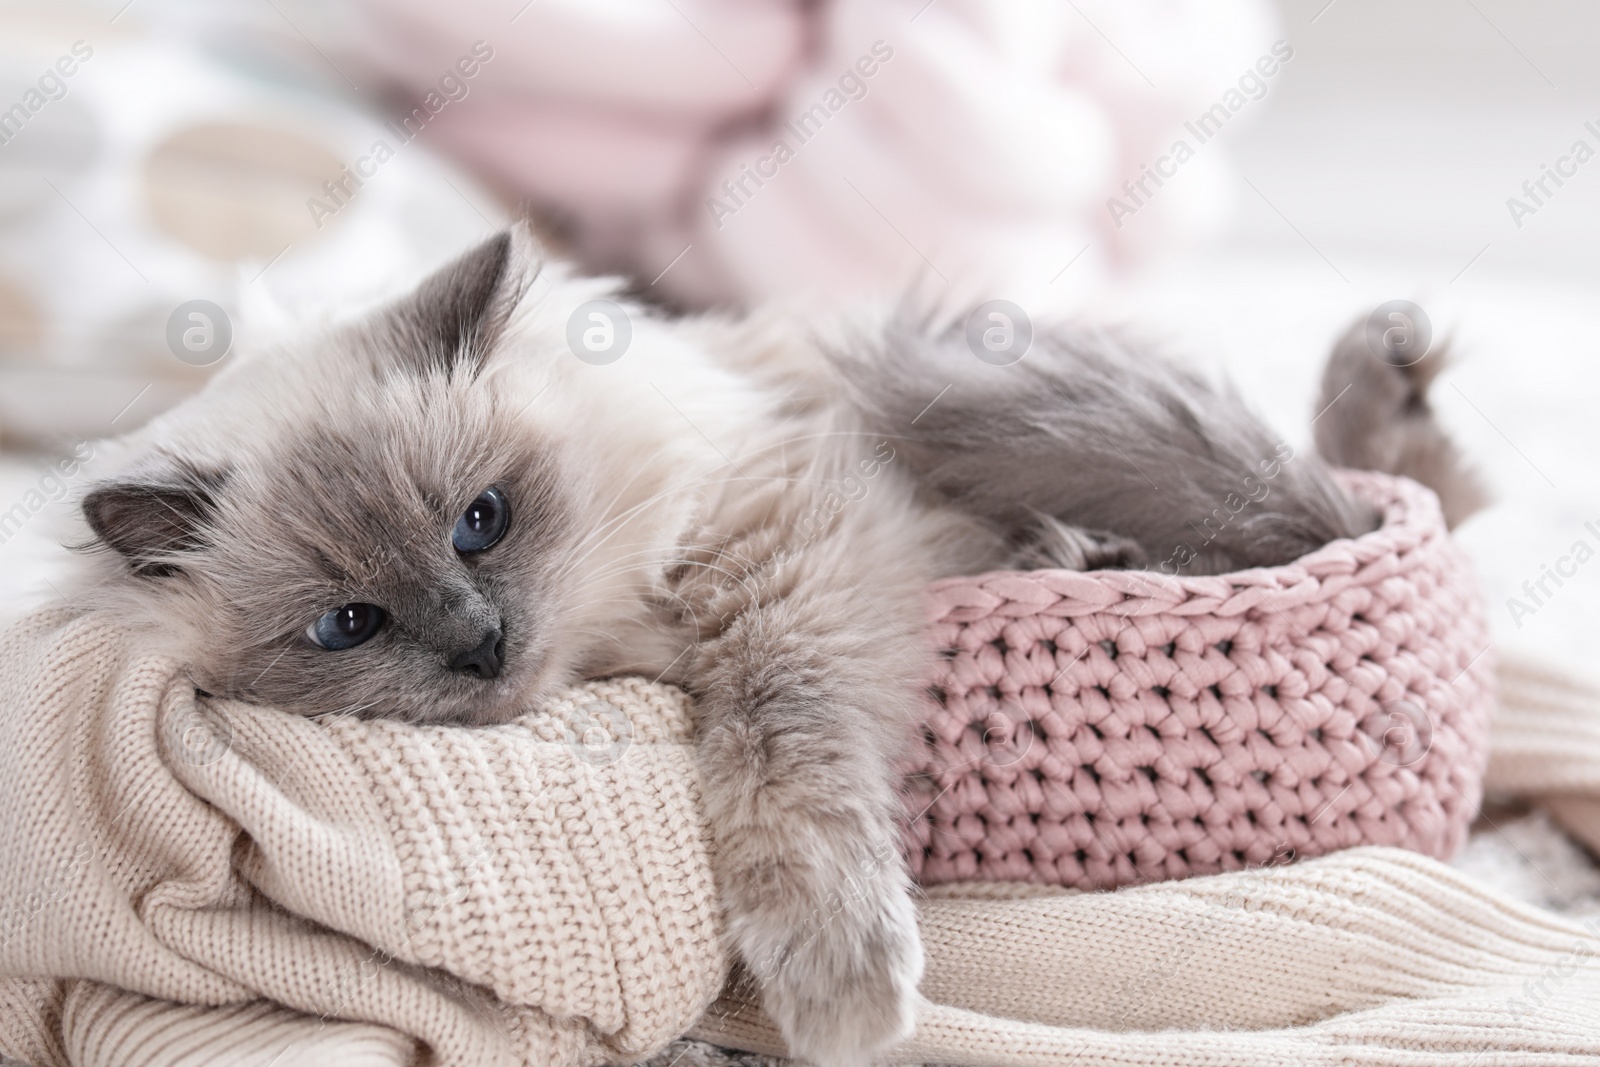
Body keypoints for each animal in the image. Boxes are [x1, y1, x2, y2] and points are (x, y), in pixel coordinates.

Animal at [72, 227, 1472, 1067]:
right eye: (348, 624)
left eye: (482, 520)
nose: (481, 644)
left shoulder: (787, 559)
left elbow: (785, 775)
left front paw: (843, 993)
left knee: (1402, 479)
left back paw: (1380, 369)